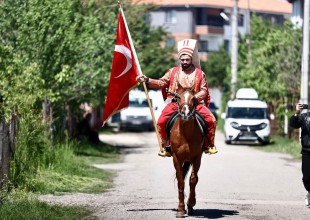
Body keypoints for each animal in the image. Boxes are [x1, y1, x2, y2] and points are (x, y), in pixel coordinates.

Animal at [168, 89, 207, 217]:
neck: (186, 134)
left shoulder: (197, 157)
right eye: (178, 98)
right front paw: (181, 209)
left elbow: (193, 180)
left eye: (193, 98)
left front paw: (190, 203)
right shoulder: (176, 158)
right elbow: (180, 181)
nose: (186, 113)